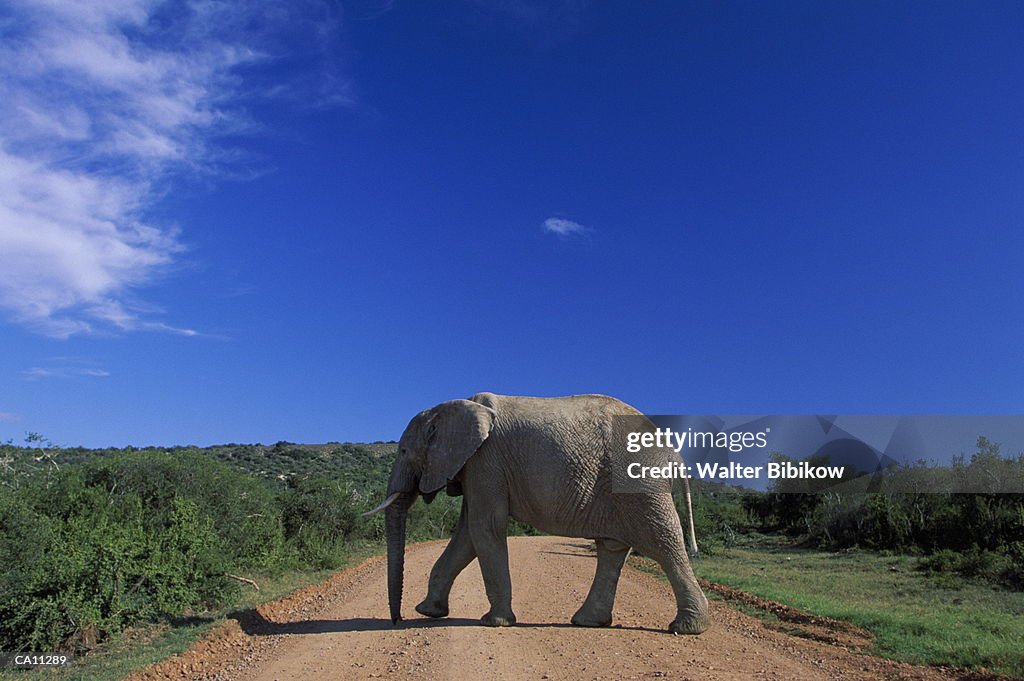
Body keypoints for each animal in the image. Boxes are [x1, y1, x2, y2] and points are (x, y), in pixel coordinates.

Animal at [366, 391, 712, 634]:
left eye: (403, 451)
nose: (396, 620)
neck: (454, 405)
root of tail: (674, 453)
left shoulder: (486, 461)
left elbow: (484, 527)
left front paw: (494, 622)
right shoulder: (476, 467)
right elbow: (466, 535)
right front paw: (427, 612)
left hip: (640, 481)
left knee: (663, 543)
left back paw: (687, 629)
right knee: (612, 549)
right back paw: (587, 622)